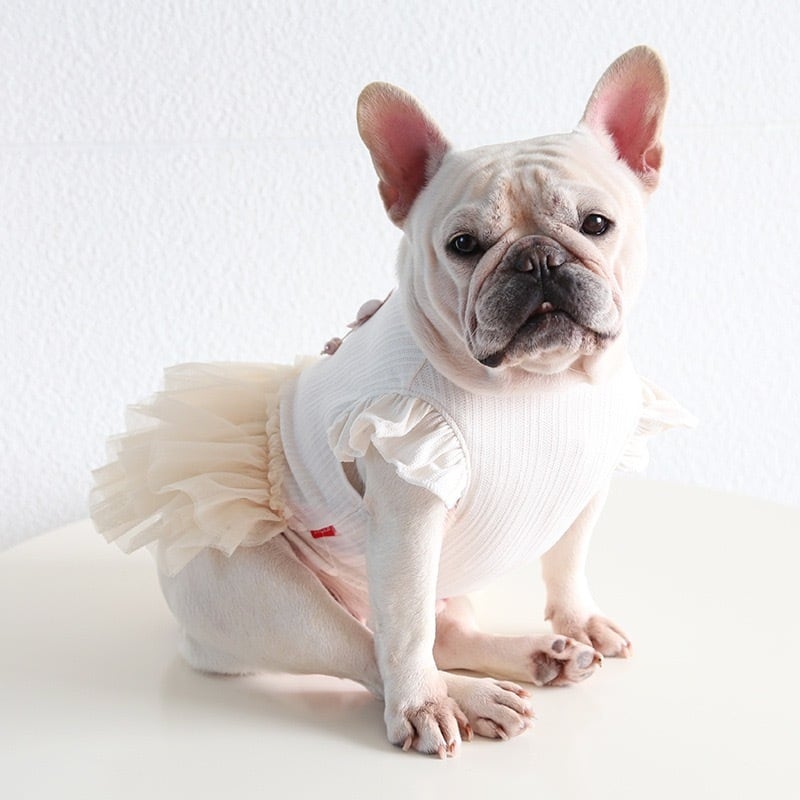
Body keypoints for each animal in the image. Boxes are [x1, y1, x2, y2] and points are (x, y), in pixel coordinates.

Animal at [92, 45, 690, 758]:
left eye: (596, 225)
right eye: (464, 245)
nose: (537, 260)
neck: (538, 384)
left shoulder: (587, 488)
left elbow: (567, 562)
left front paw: (578, 621)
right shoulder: (408, 515)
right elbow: (404, 633)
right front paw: (424, 705)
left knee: (441, 630)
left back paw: (538, 655)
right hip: (270, 598)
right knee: (371, 647)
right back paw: (461, 697)